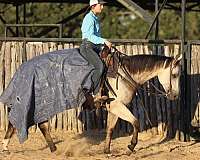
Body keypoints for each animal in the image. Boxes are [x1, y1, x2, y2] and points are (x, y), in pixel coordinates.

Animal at [0, 46, 181, 154]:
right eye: (174, 74)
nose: (175, 96)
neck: (125, 73)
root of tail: (24, 67)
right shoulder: (118, 105)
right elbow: (135, 122)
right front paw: (131, 146)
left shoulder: (113, 107)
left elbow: (110, 128)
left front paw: (107, 150)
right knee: (23, 122)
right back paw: (8, 145)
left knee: (40, 125)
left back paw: (52, 148)